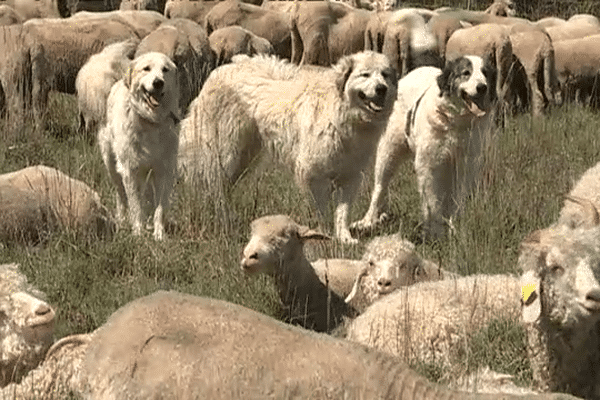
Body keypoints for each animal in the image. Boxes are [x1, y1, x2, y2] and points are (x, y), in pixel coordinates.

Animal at [97, 51, 178, 239]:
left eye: (165, 70)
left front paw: (159, 234)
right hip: (112, 166)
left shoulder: (163, 170)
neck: (149, 121)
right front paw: (138, 233)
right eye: (146, 69)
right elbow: (135, 205)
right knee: (122, 197)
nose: (158, 83)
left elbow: (159, 208)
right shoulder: (130, 170)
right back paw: (121, 221)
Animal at [176, 50, 396, 244]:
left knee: (223, 185)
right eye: (365, 74)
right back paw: (222, 219)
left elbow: (343, 212)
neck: (342, 111)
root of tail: (219, 71)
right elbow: (323, 211)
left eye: (385, 75)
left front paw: (345, 238)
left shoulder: (351, 176)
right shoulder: (315, 175)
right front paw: (325, 237)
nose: (381, 88)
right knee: (215, 184)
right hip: (227, 152)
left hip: (244, 156)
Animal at [352, 56, 496, 241]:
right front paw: (435, 233)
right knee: (379, 188)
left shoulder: (465, 166)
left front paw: (454, 229)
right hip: (388, 153)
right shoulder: (428, 166)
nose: (482, 87)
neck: (455, 122)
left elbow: (456, 201)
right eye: (466, 73)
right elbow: (432, 203)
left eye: (485, 73)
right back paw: (368, 221)